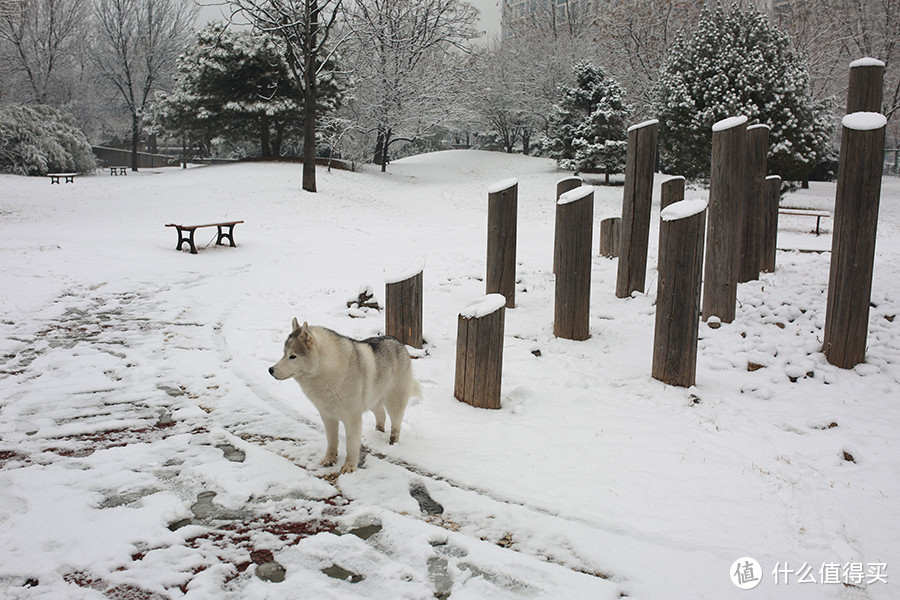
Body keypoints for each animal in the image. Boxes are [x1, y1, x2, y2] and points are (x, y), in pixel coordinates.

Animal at [268, 318, 422, 474]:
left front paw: (349, 467)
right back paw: (378, 432)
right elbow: (332, 440)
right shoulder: (327, 416)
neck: (327, 370)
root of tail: (398, 342)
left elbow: (351, 445)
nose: (270, 370)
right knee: (381, 414)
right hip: (372, 400)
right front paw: (329, 459)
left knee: (396, 424)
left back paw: (392, 443)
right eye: (284, 354)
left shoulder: (352, 418)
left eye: (293, 356)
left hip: (394, 403)